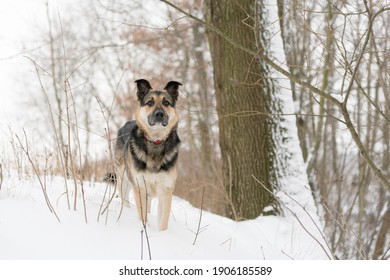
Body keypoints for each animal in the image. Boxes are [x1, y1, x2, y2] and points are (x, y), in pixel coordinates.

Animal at [111, 78, 181, 230]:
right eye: (150, 102)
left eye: (166, 103)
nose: (159, 114)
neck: (156, 142)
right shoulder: (140, 188)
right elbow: (142, 217)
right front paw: (144, 228)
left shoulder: (165, 191)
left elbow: (163, 222)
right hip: (123, 178)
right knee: (124, 197)